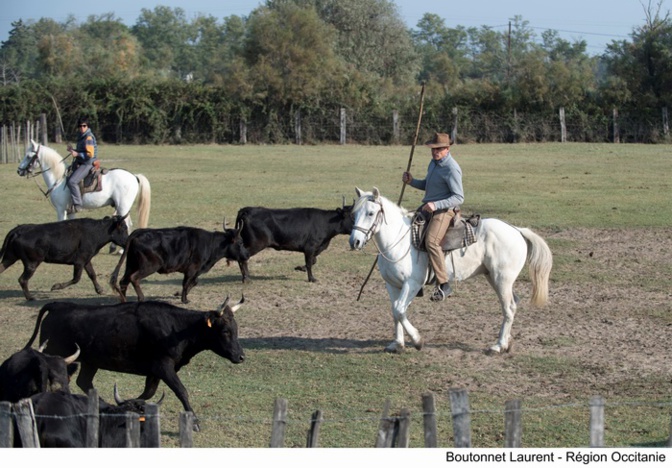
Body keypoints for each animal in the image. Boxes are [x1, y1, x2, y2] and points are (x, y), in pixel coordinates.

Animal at [17, 140, 151, 231]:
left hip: (123, 207)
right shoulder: (70, 211)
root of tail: (134, 176)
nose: (19, 171)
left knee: (127, 224)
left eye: (28, 156)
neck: (59, 179)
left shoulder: (61, 210)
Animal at [27, 298, 247, 430]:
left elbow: (148, 393)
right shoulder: (163, 367)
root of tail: (58, 305)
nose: (241, 356)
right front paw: (194, 422)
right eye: (225, 331)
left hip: (89, 362)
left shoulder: (155, 372)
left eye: (236, 329)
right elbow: (182, 391)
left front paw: (131, 405)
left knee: (84, 382)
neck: (177, 328)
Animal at [350, 188, 552, 352]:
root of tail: (516, 230)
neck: (398, 241)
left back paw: (498, 346)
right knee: (513, 304)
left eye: (370, 213)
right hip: (495, 279)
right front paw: (397, 344)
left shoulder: (412, 284)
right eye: (354, 213)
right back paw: (507, 342)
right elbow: (395, 311)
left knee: (508, 308)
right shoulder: (392, 285)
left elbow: (400, 309)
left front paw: (417, 340)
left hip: (502, 280)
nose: (355, 242)